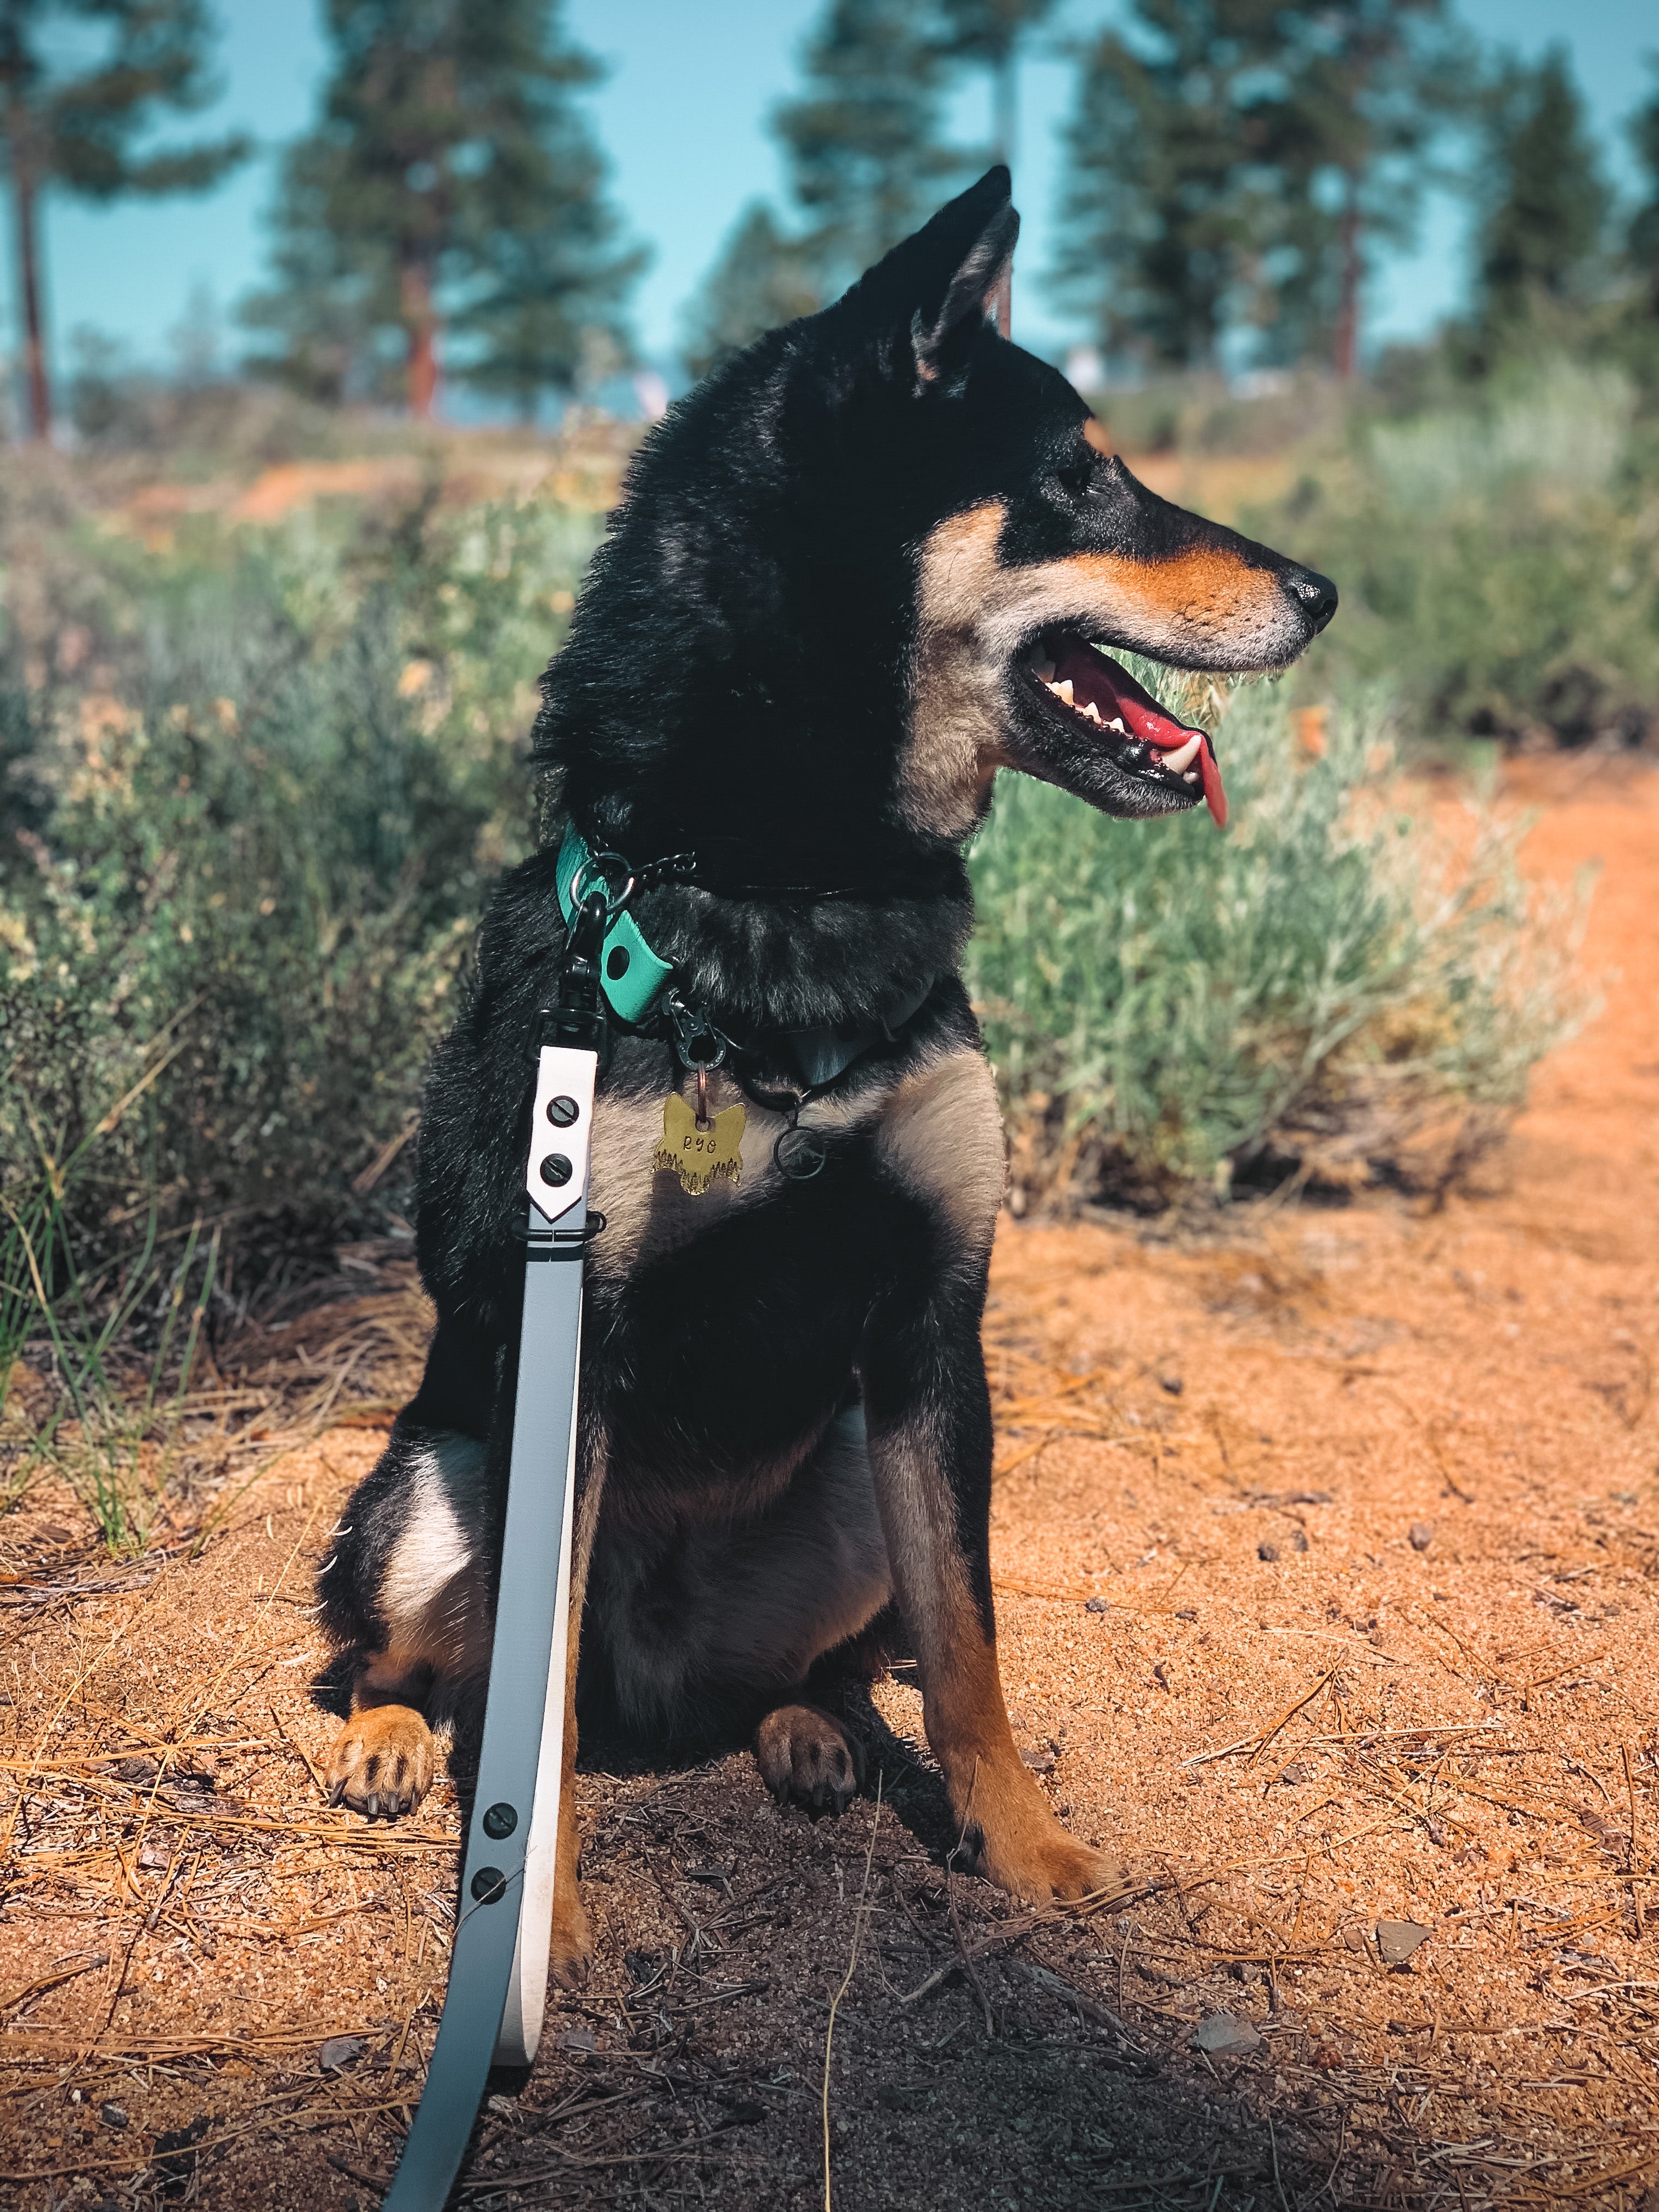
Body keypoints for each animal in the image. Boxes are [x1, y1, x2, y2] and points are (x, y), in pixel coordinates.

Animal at [320, 163, 1336, 1982]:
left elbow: (971, 1650)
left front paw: (1026, 1851)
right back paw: (385, 1740)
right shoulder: (576, 1344)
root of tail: (664, 1651)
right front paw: (540, 1917)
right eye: (1080, 478)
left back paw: (805, 1731)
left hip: (853, 1471)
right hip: (435, 1481)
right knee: (428, 1661)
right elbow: (530, 1708)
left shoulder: (934, 1318)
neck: (789, 885)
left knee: (833, 1660)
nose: (1323, 591)